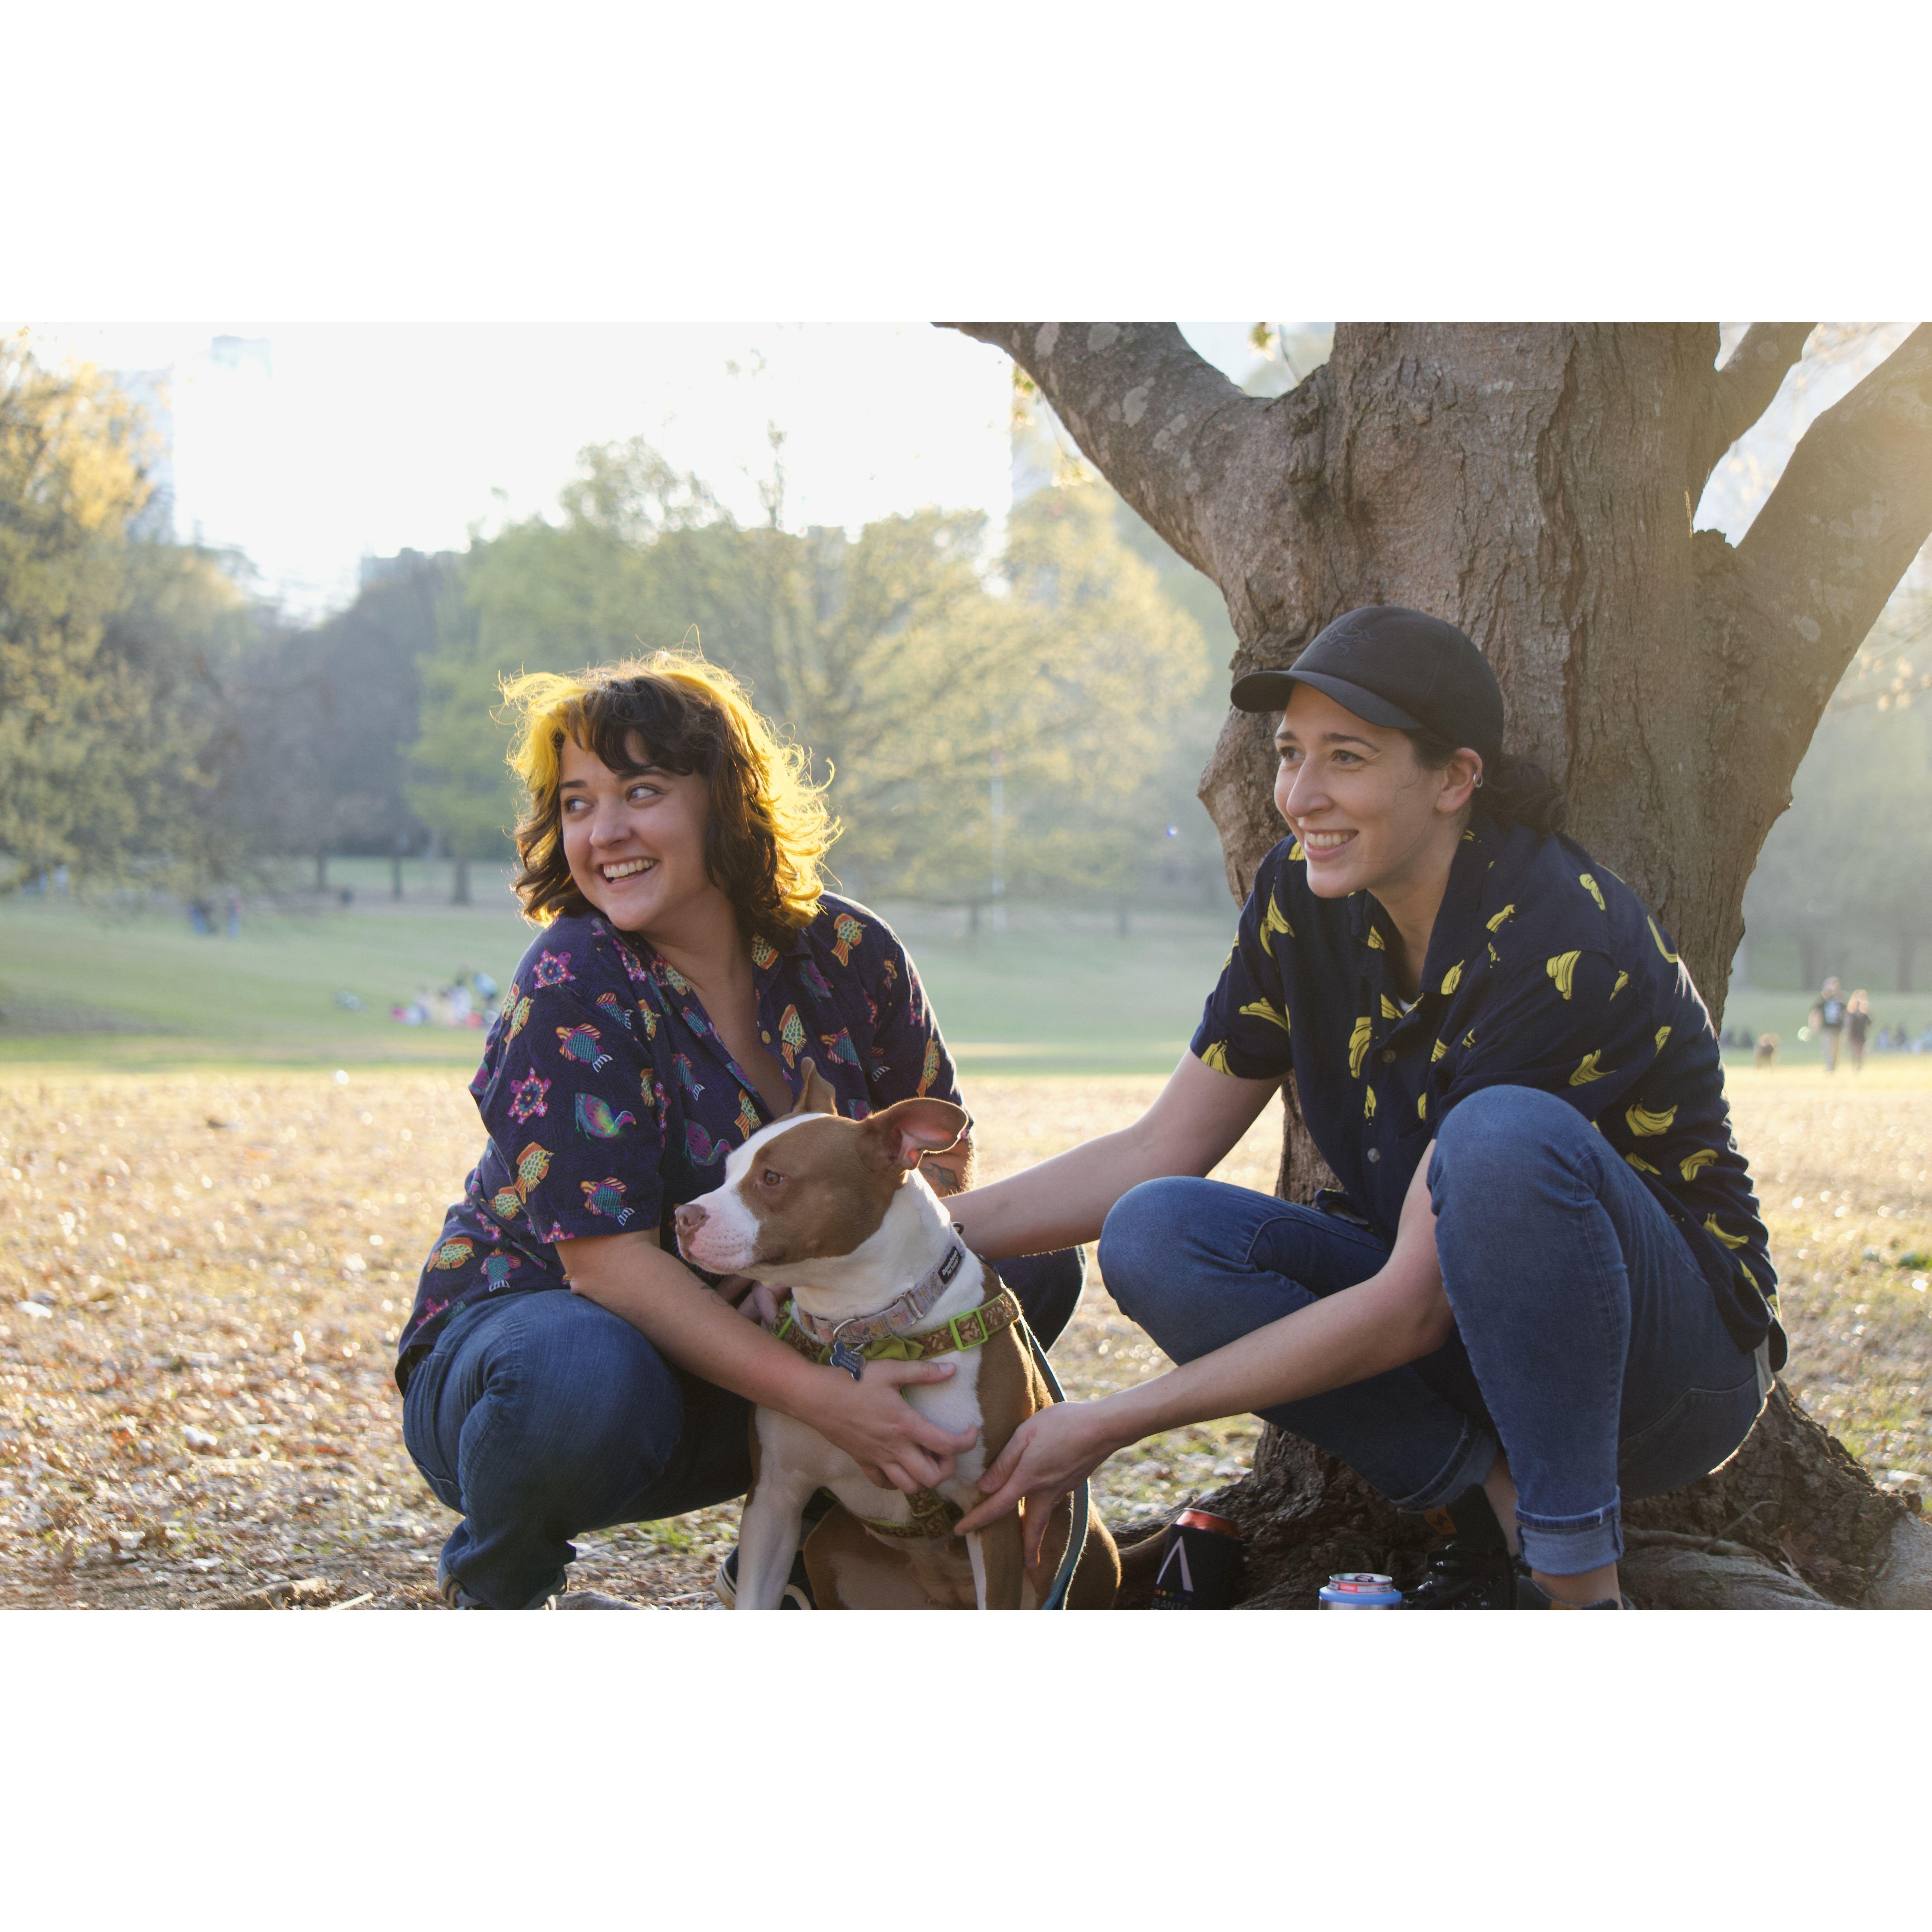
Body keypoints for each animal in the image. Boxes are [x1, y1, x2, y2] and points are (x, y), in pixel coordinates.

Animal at [673, 1060, 1119, 1610]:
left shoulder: (993, 1513)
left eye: (772, 1178)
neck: (864, 1327)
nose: (683, 1217)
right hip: (829, 1547)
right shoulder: (774, 1499)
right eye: (728, 1171)